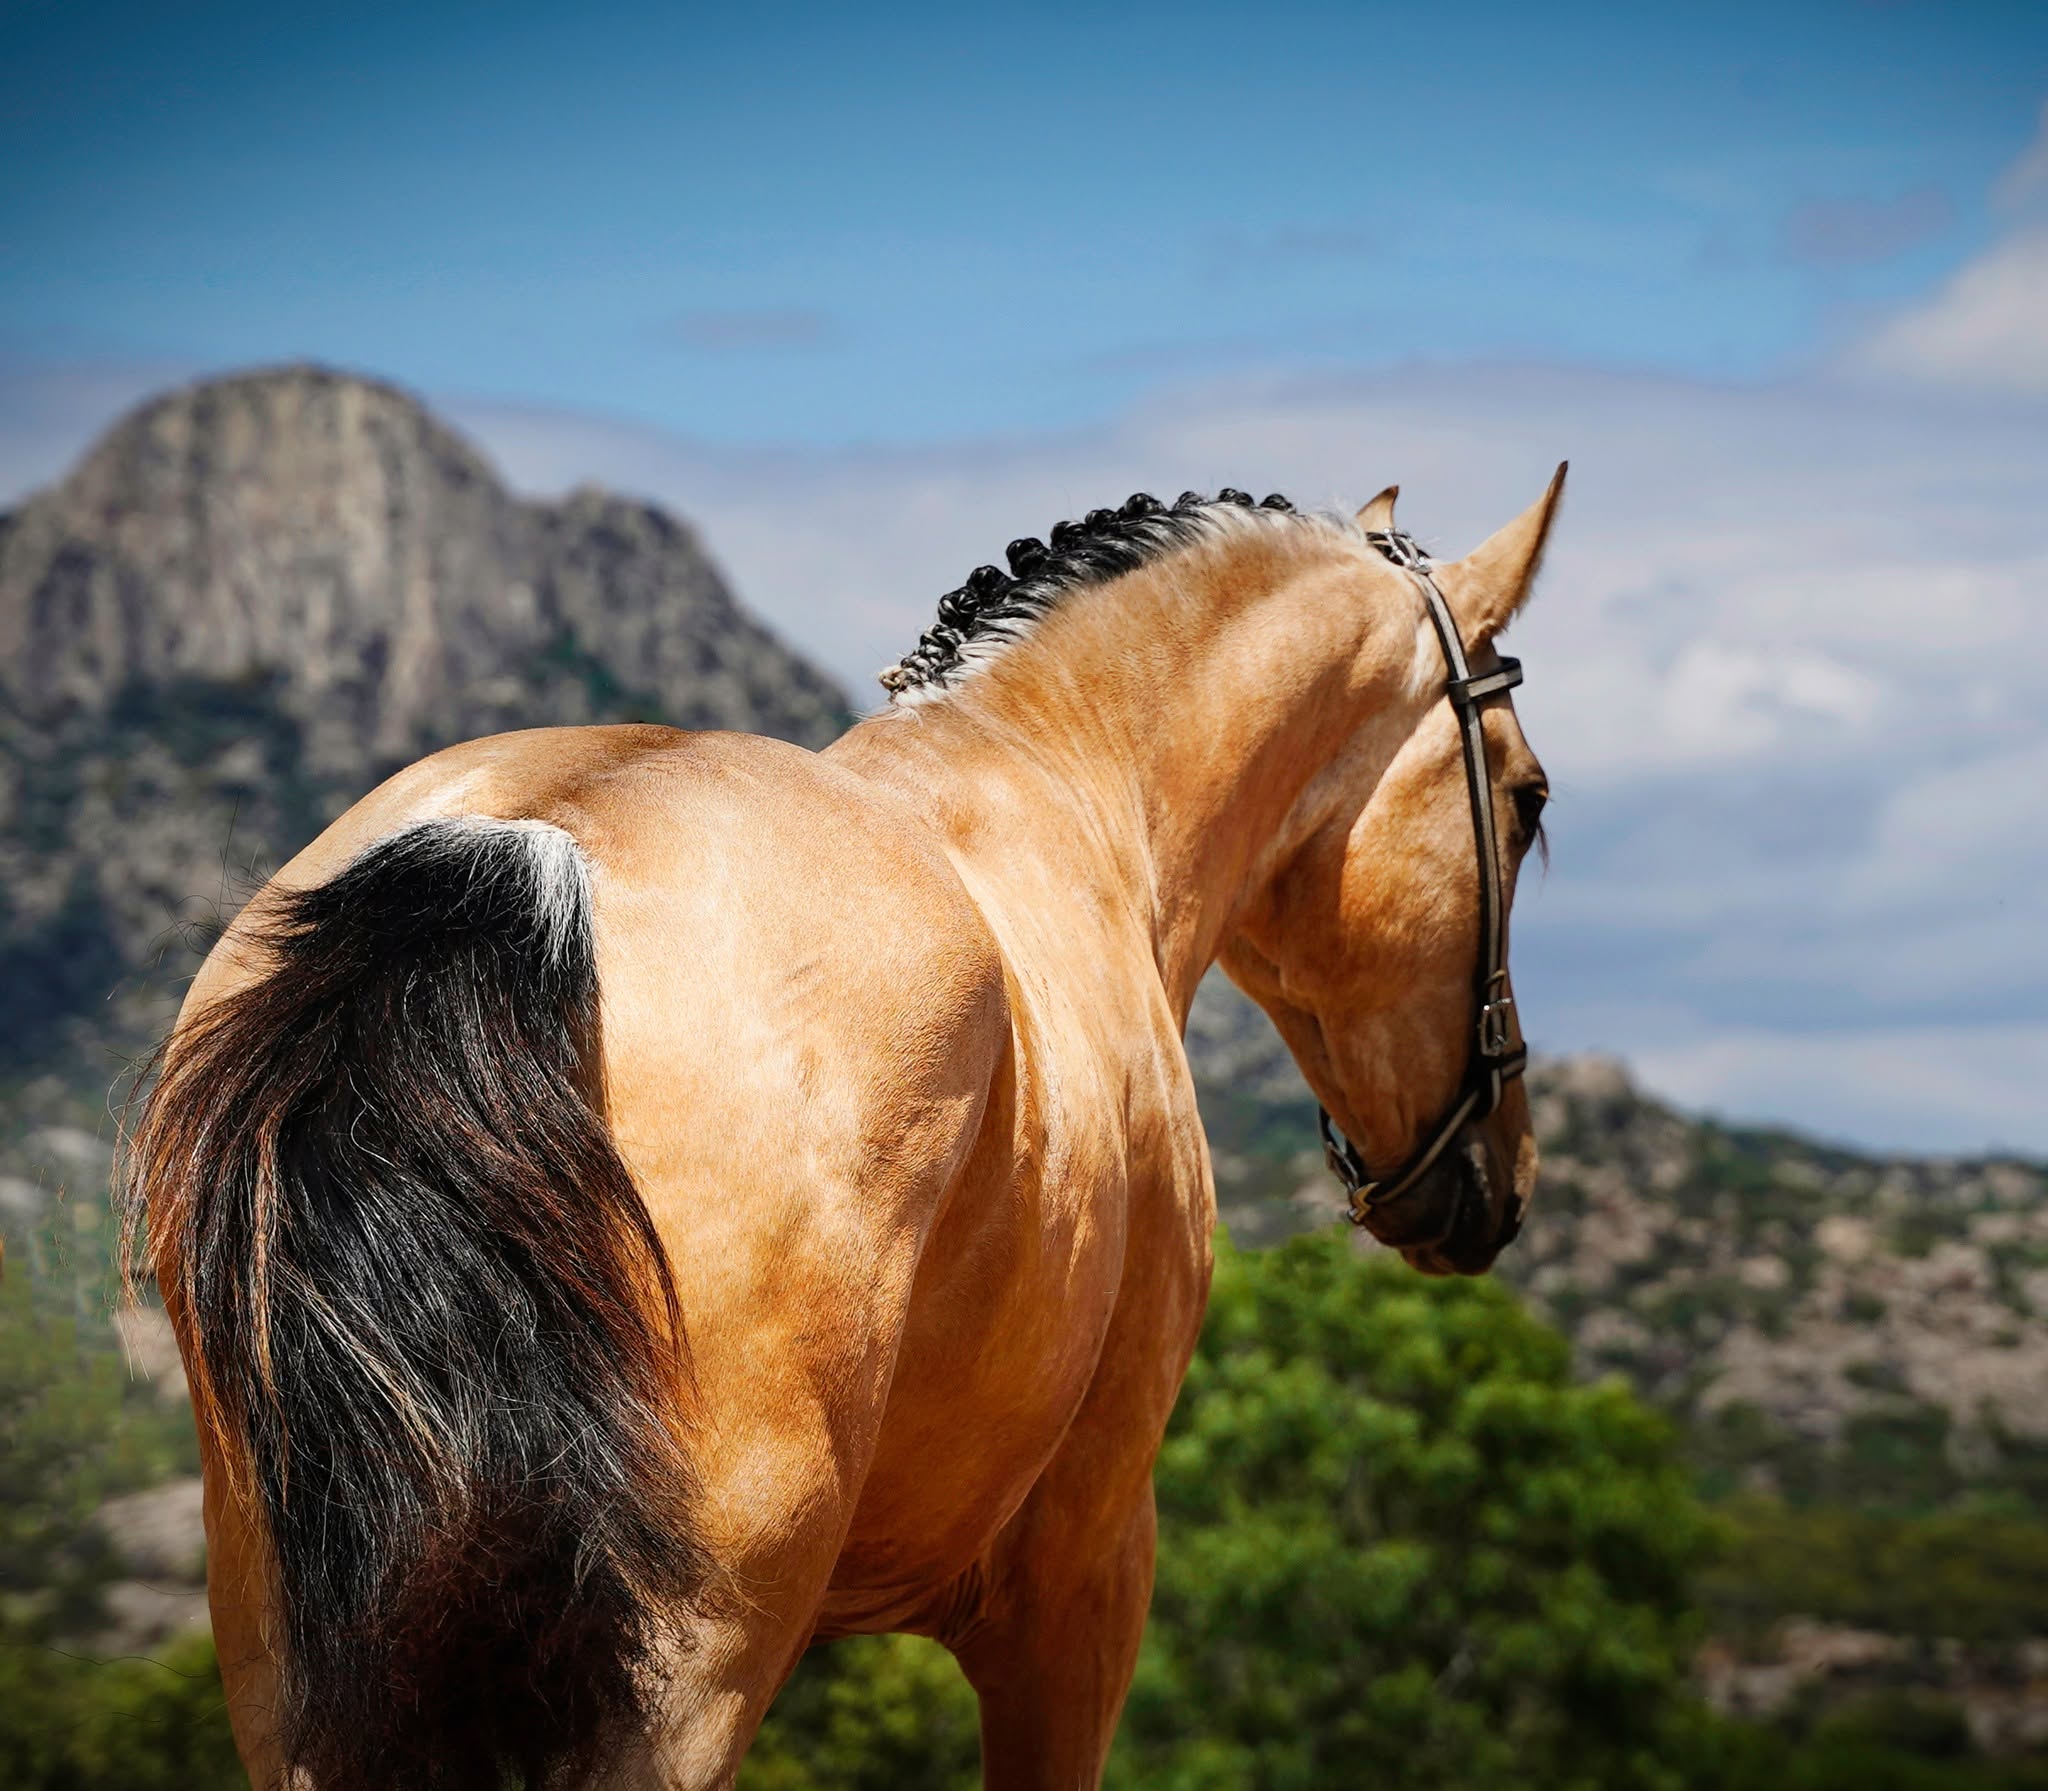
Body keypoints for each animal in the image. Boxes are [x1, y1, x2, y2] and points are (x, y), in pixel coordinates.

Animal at [127, 470, 1563, 1789]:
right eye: (1529, 798)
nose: (1496, 1179)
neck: (1064, 795)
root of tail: (523, 852)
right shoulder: (1084, 1576)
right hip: (688, 1665)